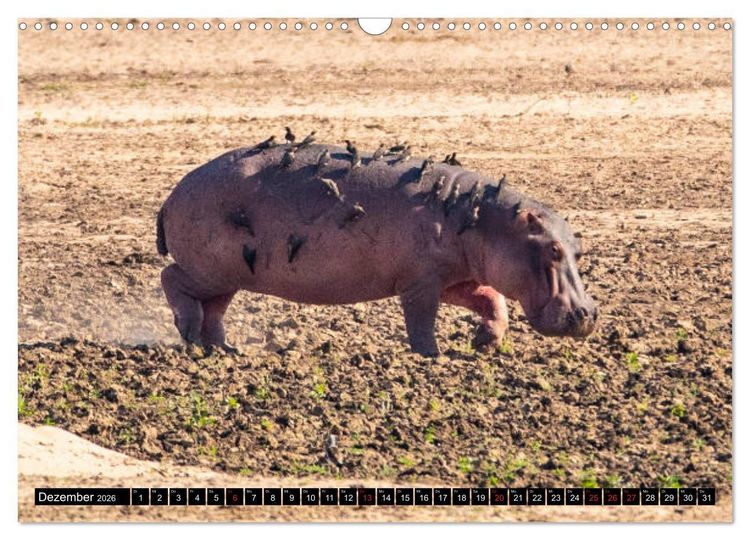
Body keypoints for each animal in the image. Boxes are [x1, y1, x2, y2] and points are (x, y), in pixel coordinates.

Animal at [156, 140, 597, 356]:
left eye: (577, 248)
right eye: (552, 250)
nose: (589, 314)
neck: (485, 218)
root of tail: (174, 192)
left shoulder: (455, 278)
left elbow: (492, 300)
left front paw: (484, 342)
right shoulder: (421, 282)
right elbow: (421, 320)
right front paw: (431, 356)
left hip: (228, 274)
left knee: (215, 309)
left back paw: (223, 349)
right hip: (208, 268)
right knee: (171, 278)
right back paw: (188, 332)